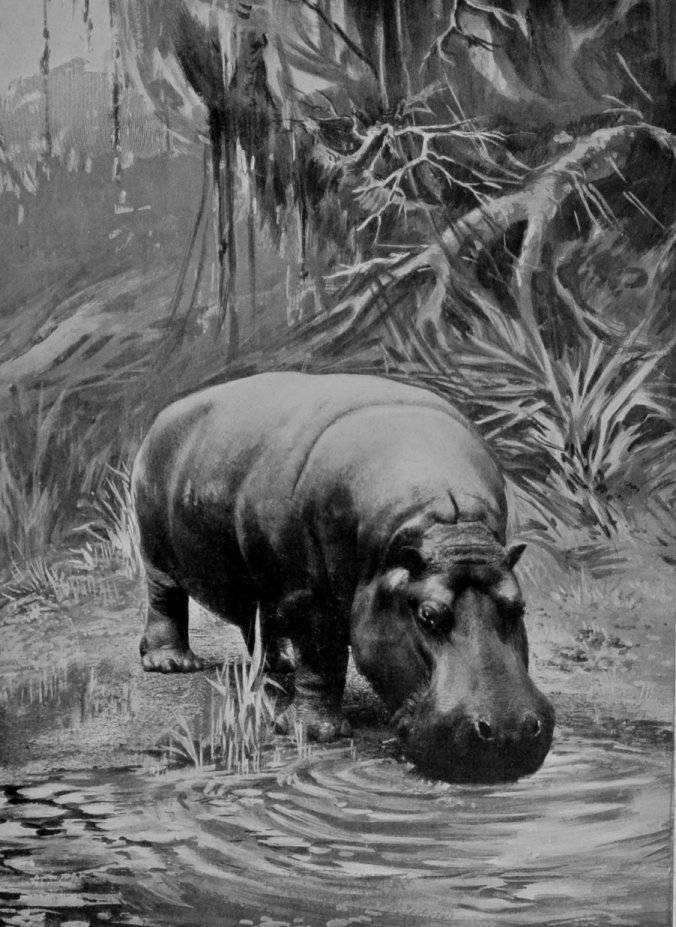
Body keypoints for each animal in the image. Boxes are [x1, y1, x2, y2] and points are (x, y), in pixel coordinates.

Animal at [132, 372, 554, 782]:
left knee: (262, 620)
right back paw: (173, 664)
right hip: (156, 551)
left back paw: (279, 665)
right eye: (428, 615)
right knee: (165, 599)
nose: (509, 731)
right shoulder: (308, 594)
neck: (442, 523)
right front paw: (313, 733)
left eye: (519, 606)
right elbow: (322, 653)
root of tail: (166, 414)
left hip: (264, 579)